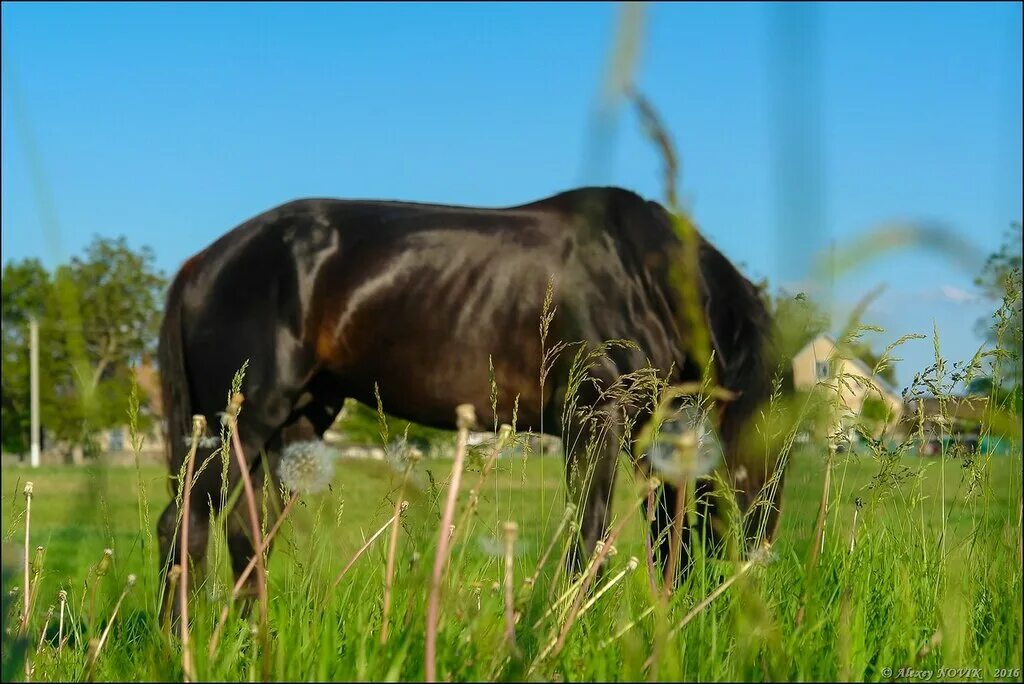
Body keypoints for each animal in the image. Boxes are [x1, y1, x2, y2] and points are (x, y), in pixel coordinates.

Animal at [157, 184, 782, 602]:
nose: (754, 573)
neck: (642, 275)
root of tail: (204, 263)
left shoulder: (651, 433)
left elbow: (666, 542)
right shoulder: (593, 420)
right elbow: (591, 539)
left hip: (287, 432)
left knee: (245, 535)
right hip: (239, 424)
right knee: (183, 525)